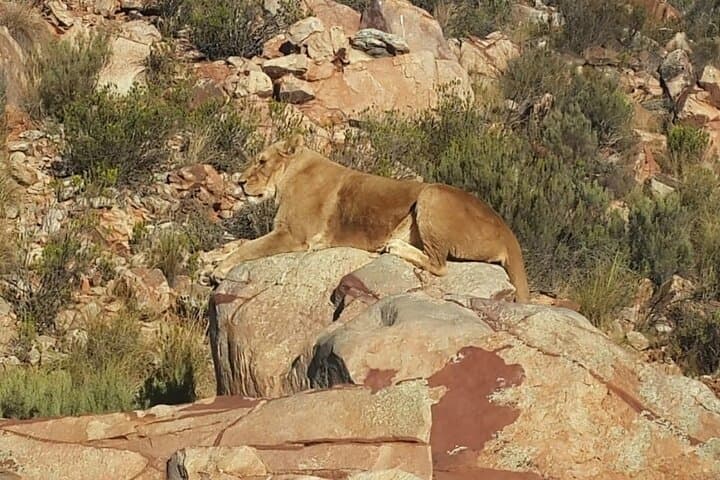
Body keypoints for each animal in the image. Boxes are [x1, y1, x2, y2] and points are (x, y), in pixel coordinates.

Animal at [212, 134, 531, 302]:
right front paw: (213, 262)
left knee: (439, 265)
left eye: (261, 161)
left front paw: (217, 270)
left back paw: (393, 246)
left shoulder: (293, 235)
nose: (240, 182)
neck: (291, 174)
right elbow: (239, 244)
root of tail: (507, 230)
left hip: (432, 194)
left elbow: (247, 247)